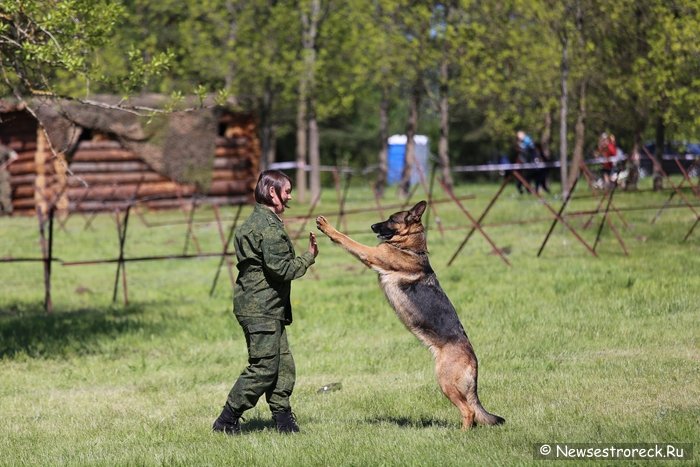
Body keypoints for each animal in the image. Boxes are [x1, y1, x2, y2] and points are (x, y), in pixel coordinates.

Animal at [316, 201, 504, 432]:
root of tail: (474, 362)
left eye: (391, 219)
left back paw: (461, 434)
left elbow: (347, 240)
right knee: (473, 413)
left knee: (468, 411)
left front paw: (328, 227)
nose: (372, 226)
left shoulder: (371, 254)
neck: (409, 248)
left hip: (445, 382)